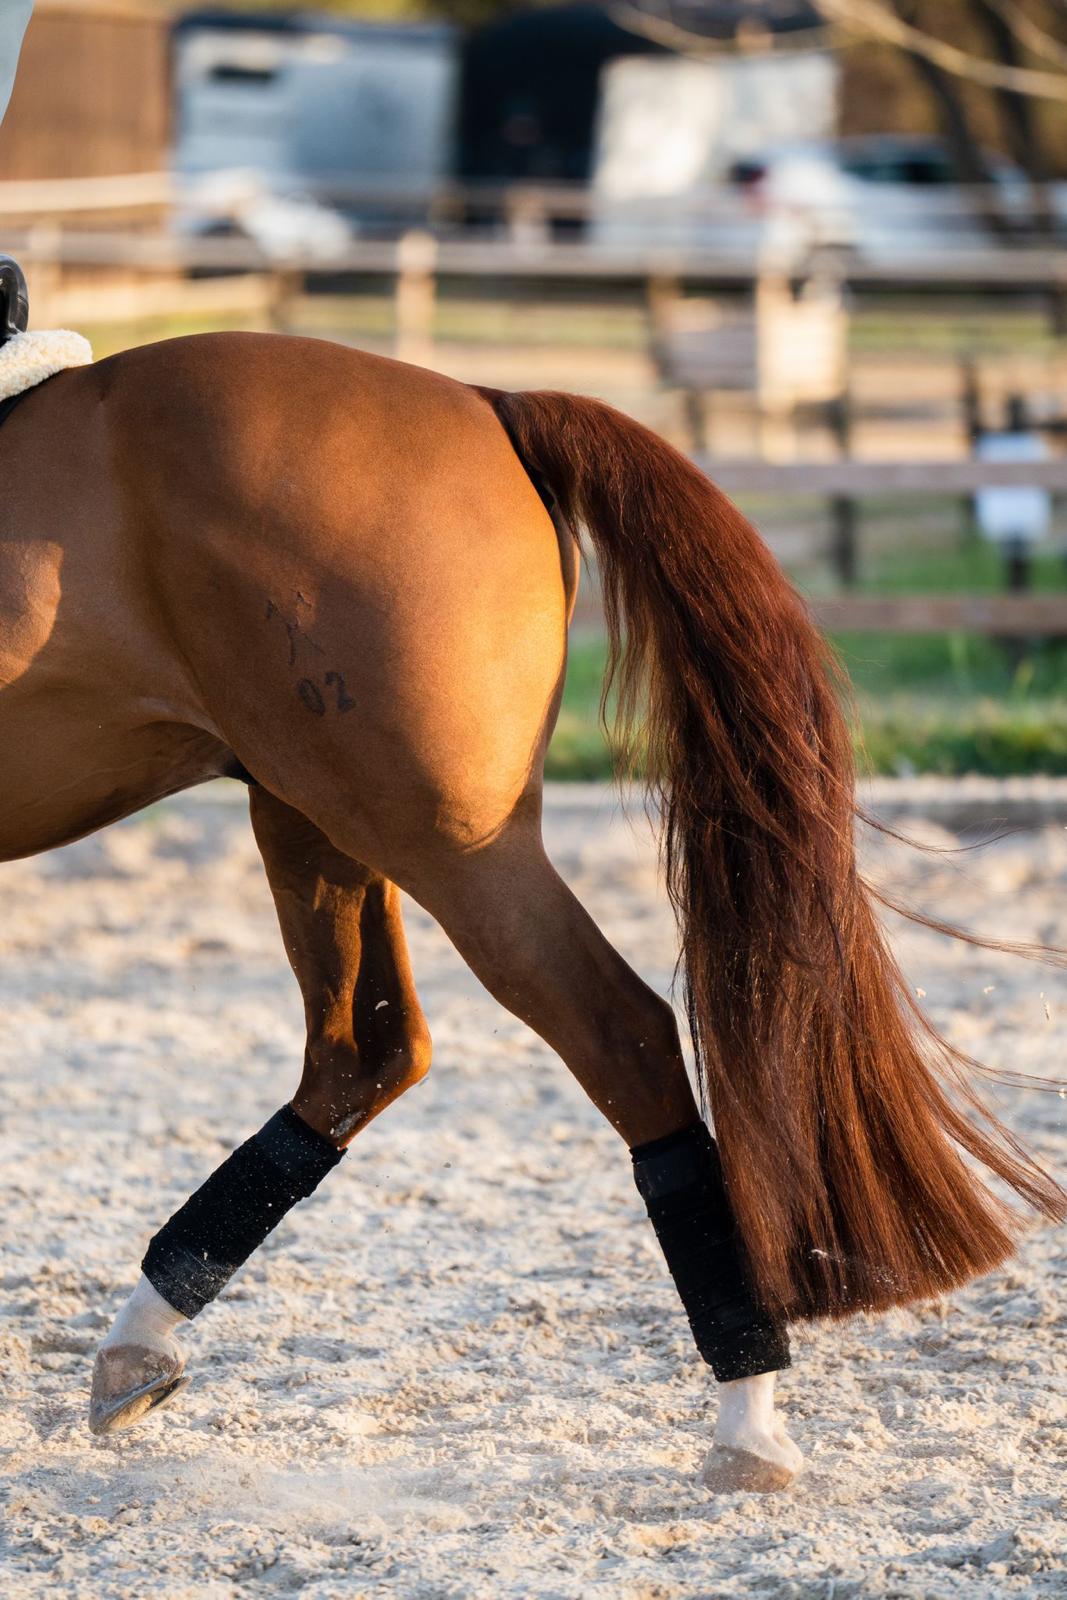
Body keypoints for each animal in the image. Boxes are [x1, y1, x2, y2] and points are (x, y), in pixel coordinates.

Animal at [1, 262, 1062, 1491]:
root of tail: (482, 398)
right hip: (315, 809)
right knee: (364, 1052)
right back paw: (140, 1339)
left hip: (441, 838)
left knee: (616, 1036)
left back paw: (747, 1419)